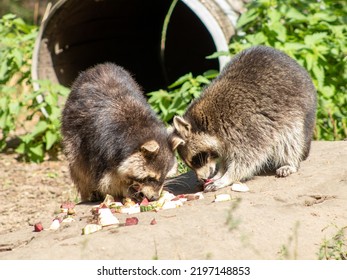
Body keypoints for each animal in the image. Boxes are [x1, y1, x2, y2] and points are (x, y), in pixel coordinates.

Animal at [61, 63, 184, 201]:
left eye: (164, 176)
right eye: (150, 178)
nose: (154, 198)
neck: (142, 128)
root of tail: (99, 66)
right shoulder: (101, 148)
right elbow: (107, 181)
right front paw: (126, 189)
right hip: (72, 131)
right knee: (78, 165)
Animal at [174, 46, 318, 192]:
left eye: (196, 160)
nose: (202, 179)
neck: (211, 122)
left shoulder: (245, 125)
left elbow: (247, 158)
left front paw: (227, 177)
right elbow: (226, 156)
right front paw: (220, 172)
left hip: (296, 112)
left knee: (290, 139)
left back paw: (290, 162)